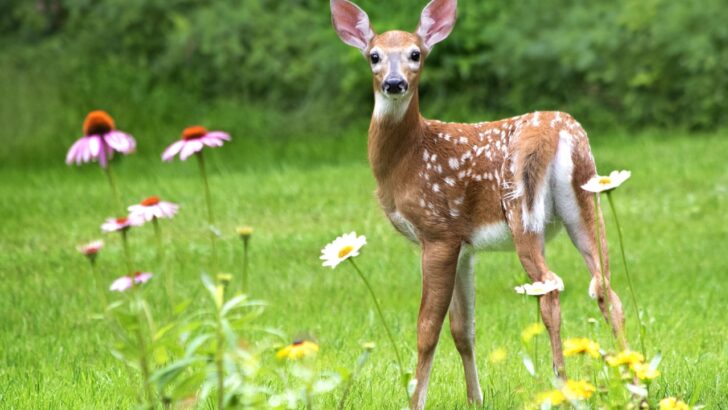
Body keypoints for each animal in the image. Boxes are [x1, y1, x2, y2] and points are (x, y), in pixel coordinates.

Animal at [330, 0, 628, 408]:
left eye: (415, 54)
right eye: (374, 56)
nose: (394, 83)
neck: (408, 158)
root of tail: (558, 132)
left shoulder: (438, 231)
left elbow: (428, 328)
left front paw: (416, 400)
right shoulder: (465, 245)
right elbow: (463, 329)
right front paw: (475, 398)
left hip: (521, 210)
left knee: (551, 288)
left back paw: (562, 385)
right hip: (586, 201)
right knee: (606, 288)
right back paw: (632, 377)